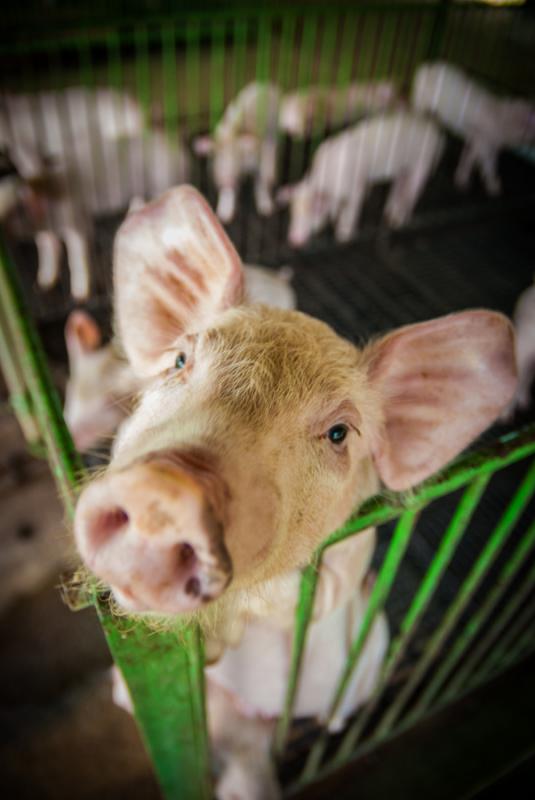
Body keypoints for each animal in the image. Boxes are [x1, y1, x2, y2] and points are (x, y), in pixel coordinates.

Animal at [195, 81, 282, 222]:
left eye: (237, 154)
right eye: (215, 153)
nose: (226, 179)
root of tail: (265, 83)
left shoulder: (256, 160)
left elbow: (260, 182)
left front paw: (266, 210)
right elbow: (228, 192)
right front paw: (224, 215)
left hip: (274, 126)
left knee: (271, 147)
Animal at [280, 110, 444, 247]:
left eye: (315, 210)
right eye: (292, 213)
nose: (293, 239)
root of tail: (436, 129)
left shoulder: (356, 187)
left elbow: (351, 210)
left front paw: (343, 237)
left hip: (423, 162)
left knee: (412, 192)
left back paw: (399, 221)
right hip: (404, 169)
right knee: (399, 185)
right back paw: (389, 215)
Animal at [412, 61, 535, 195]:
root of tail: (427, 67)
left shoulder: (477, 140)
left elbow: (469, 158)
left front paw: (461, 178)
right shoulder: (486, 143)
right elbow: (490, 164)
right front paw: (494, 185)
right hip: (421, 100)